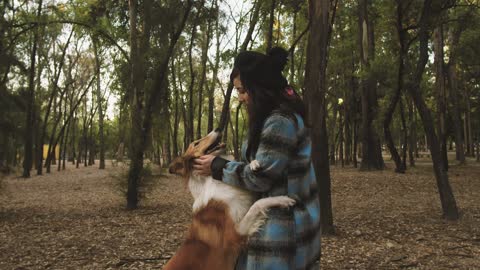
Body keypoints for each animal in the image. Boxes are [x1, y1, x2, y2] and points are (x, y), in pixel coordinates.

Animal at [163, 129, 294, 270]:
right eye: (196, 143)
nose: (217, 129)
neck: (211, 180)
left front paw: (253, 163)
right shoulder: (235, 234)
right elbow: (257, 205)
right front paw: (283, 199)